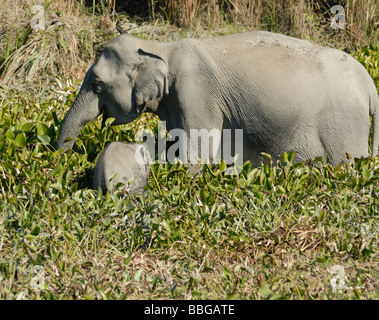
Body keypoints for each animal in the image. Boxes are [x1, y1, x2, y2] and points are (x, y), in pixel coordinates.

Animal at [55, 30, 378, 166]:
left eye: (97, 85)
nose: (63, 161)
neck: (160, 46)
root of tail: (370, 86)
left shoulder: (196, 90)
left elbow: (194, 154)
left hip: (343, 126)